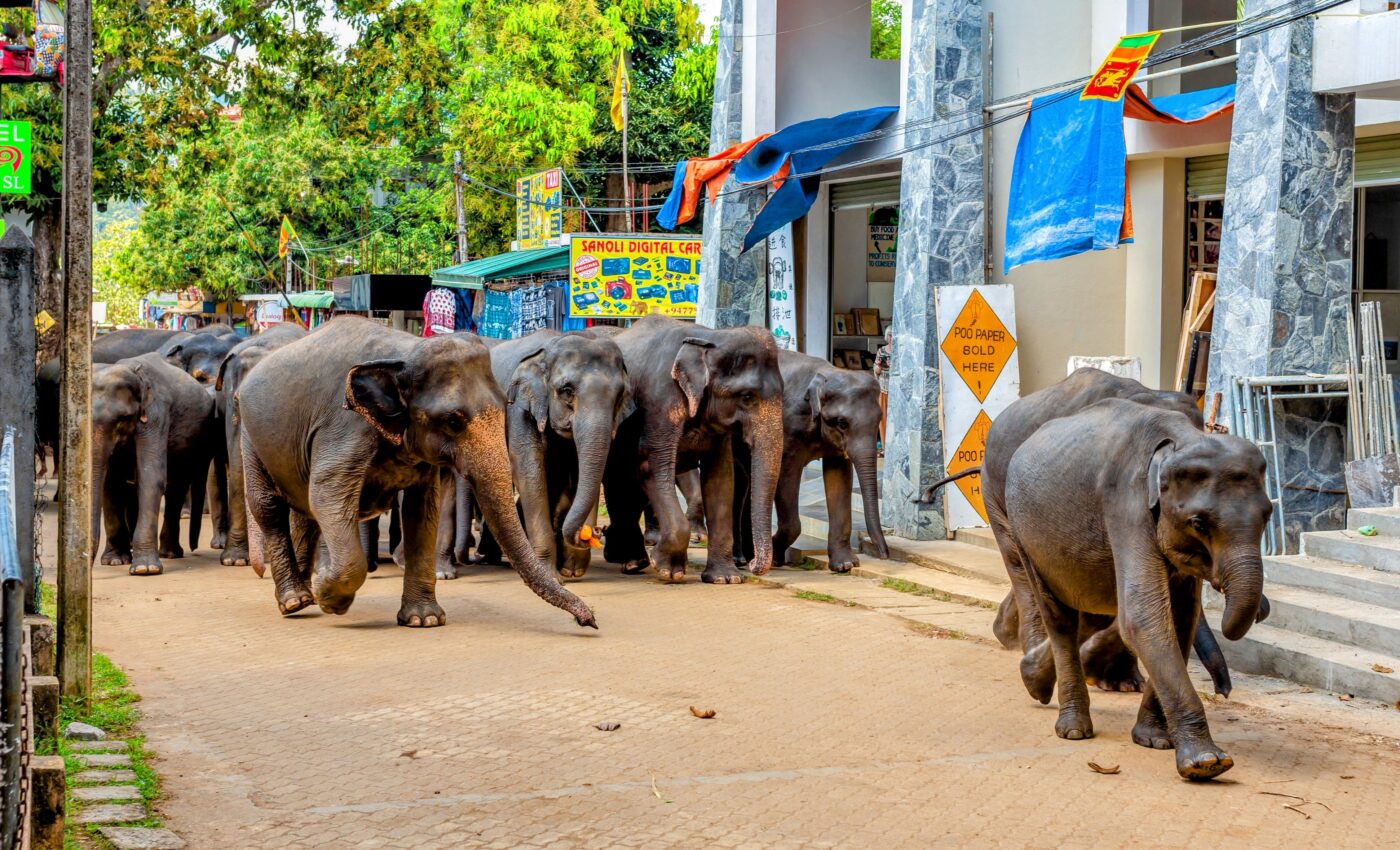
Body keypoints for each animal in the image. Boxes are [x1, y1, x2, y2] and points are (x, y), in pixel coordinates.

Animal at [92, 353, 221, 575]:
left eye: (124, 418)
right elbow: (111, 484)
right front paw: (114, 561)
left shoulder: (156, 415)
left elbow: (151, 477)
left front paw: (145, 569)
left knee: (176, 488)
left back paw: (169, 554)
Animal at [237, 316, 596, 628]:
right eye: (452, 421)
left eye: (502, 406)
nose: (589, 620)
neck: (405, 353)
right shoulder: (344, 427)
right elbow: (328, 495)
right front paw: (332, 599)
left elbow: (422, 509)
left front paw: (424, 620)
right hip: (250, 436)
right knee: (269, 506)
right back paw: (295, 601)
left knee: (304, 512)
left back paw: (304, 594)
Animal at [602, 315, 784, 584]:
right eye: (747, 396)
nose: (750, 564)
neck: (709, 337)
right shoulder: (660, 402)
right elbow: (653, 466)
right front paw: (668, 570)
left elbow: (721, 477)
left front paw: (724, 579)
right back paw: (633, 561)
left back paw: (628, 559)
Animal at [1001, 398, 1269, 780]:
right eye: (1199, 524)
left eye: (1268, 516)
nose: (1261, 609)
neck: (1181, 439)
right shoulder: (1126, 506)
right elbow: (1145, 619)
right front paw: (1207, 763)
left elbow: (1180, 621)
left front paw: (1154, 740)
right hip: (1021, 532)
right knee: (1061, 619)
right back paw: (1072, 729)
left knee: (1093, 615)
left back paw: (1032, 679)